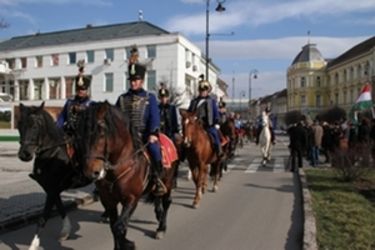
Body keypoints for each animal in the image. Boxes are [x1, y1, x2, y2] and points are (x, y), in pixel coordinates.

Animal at [17, 102, 94, 250]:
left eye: (35, 126)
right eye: (19, 126)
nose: (24, 154)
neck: (53, 152)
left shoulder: (53, 188)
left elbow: (43, 217)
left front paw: (33, 245)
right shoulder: (50, 188)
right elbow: (59, 207)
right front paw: (65, 231)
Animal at [78, 101, 178, 250]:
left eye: (101, 133)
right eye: (82, 135)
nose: (91, 171)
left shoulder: (132, 199)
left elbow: (119, 227)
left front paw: (128, 244)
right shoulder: (109, 200)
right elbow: (114, 226)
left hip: (168, 181)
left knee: (166, 202)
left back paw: (161, 228)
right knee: (158, 198)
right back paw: (158, 214)